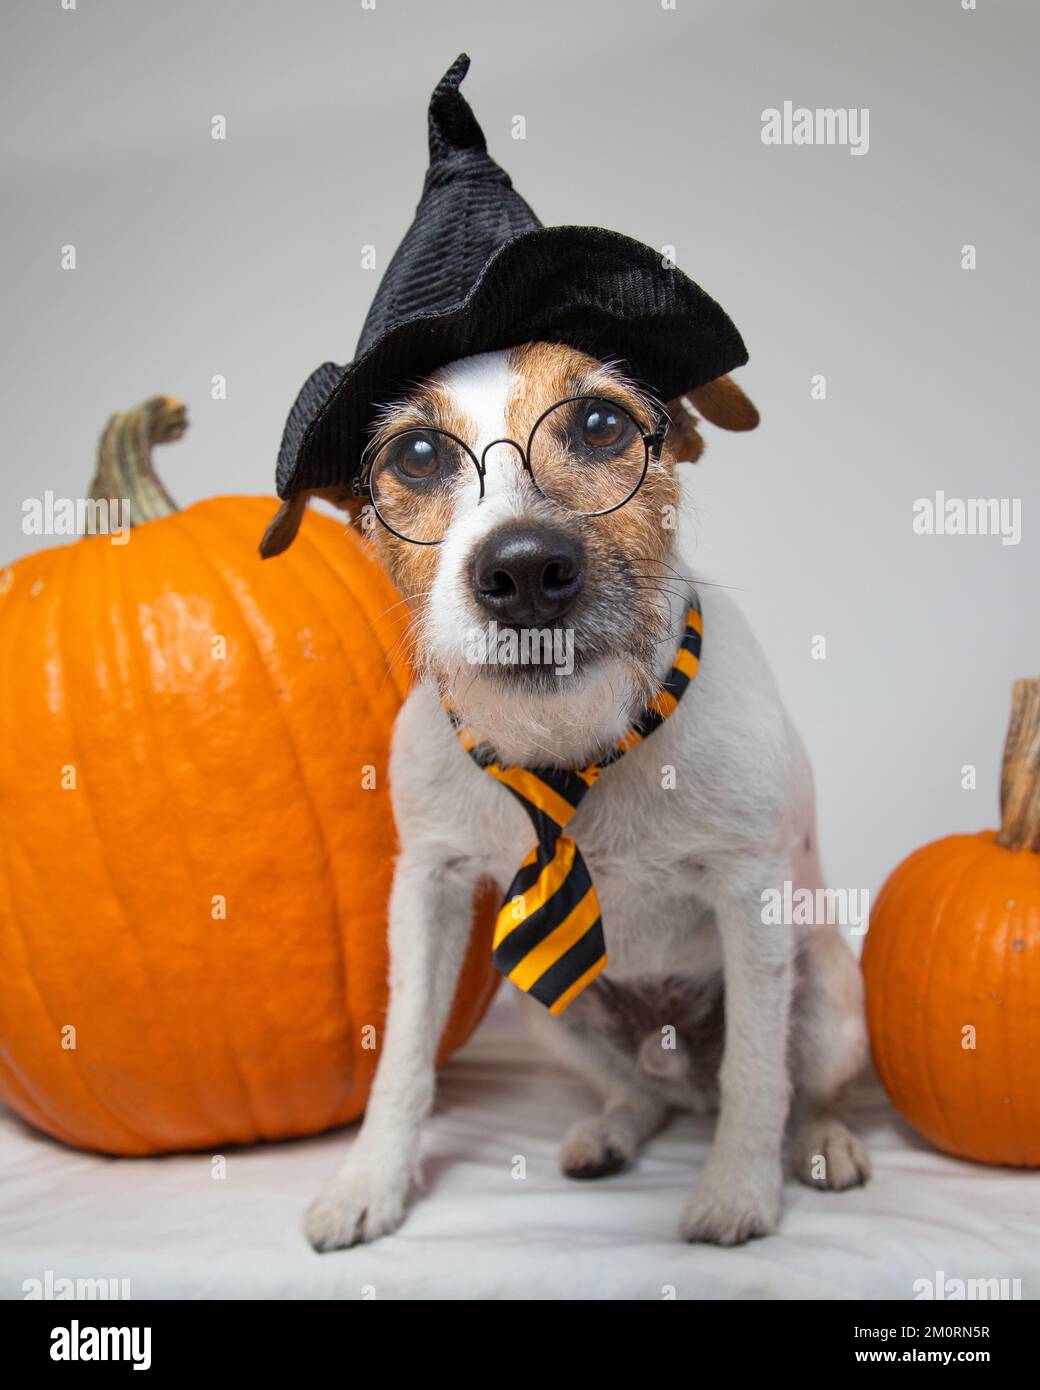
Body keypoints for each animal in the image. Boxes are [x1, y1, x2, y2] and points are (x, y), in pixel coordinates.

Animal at [273, 339, 867, 1251]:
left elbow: (757, 1070)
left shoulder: (751, 893)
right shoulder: (428, 886)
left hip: (832, 1001)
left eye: (600, 422)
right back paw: (611, 1132)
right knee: (645, 1093)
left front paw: (737, 1190)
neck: (567, 748)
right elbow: (404, 1053)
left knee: (798, 1085)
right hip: (553, 1017)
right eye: (417, 453)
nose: (523, 568)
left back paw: (820, 1140)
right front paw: (368, 1181)